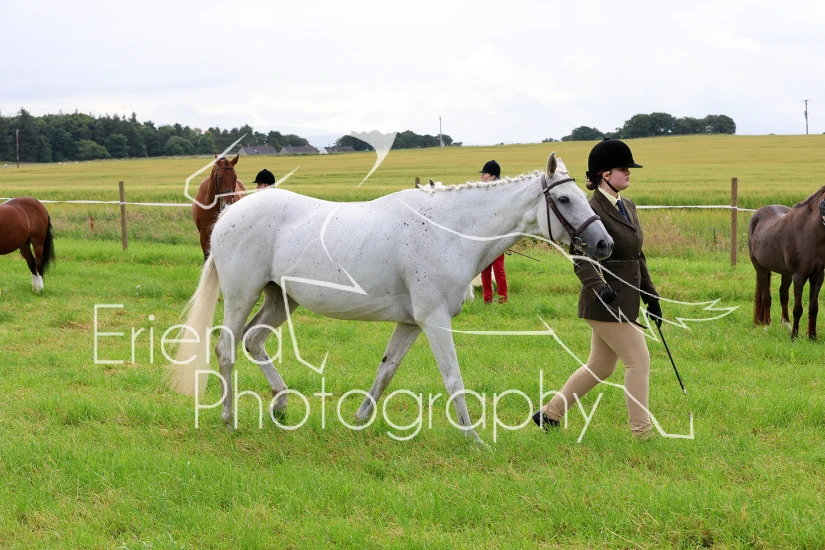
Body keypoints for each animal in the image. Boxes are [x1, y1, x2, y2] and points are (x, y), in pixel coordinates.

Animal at [167, 153, 614, 443]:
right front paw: (475, 439)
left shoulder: (410, 323)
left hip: (281, 300)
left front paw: (358, 420)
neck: (448, 231)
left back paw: (281, 404)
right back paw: (229, 418)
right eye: (565, 199)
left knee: (253, 340)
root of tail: (229, 214)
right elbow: (453, 378)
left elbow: (386, 372)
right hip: (241, 295)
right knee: (226, 348)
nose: (604, 244)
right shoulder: (434, 320)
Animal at [749, 185, 825, 340]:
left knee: (783, 294)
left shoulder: (818, 276)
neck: (809, 232)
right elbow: (797, 308)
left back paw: (786, 324)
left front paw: (812, 336)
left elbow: (813, 308)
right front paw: (794, 336)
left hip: (786, 273)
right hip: (760, 268)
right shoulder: (799, 275)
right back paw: (768, 326)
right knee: (766, 297)